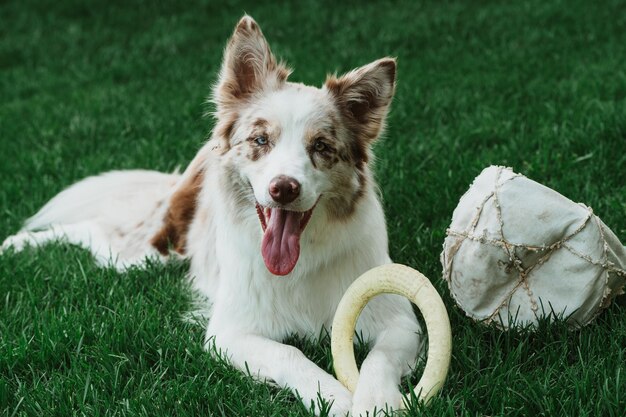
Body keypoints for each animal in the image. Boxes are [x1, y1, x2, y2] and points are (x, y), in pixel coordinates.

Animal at [2, 16, 422, 416]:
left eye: (320, 146)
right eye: (260, 140)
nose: (283, 188)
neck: (302, 261)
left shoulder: (399, 320)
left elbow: (378, 360)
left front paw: (376, 402)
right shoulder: (229, 332)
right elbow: (290, 353)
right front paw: (336, 398)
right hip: (147, 253)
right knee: (92, 229)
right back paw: (17, 243)